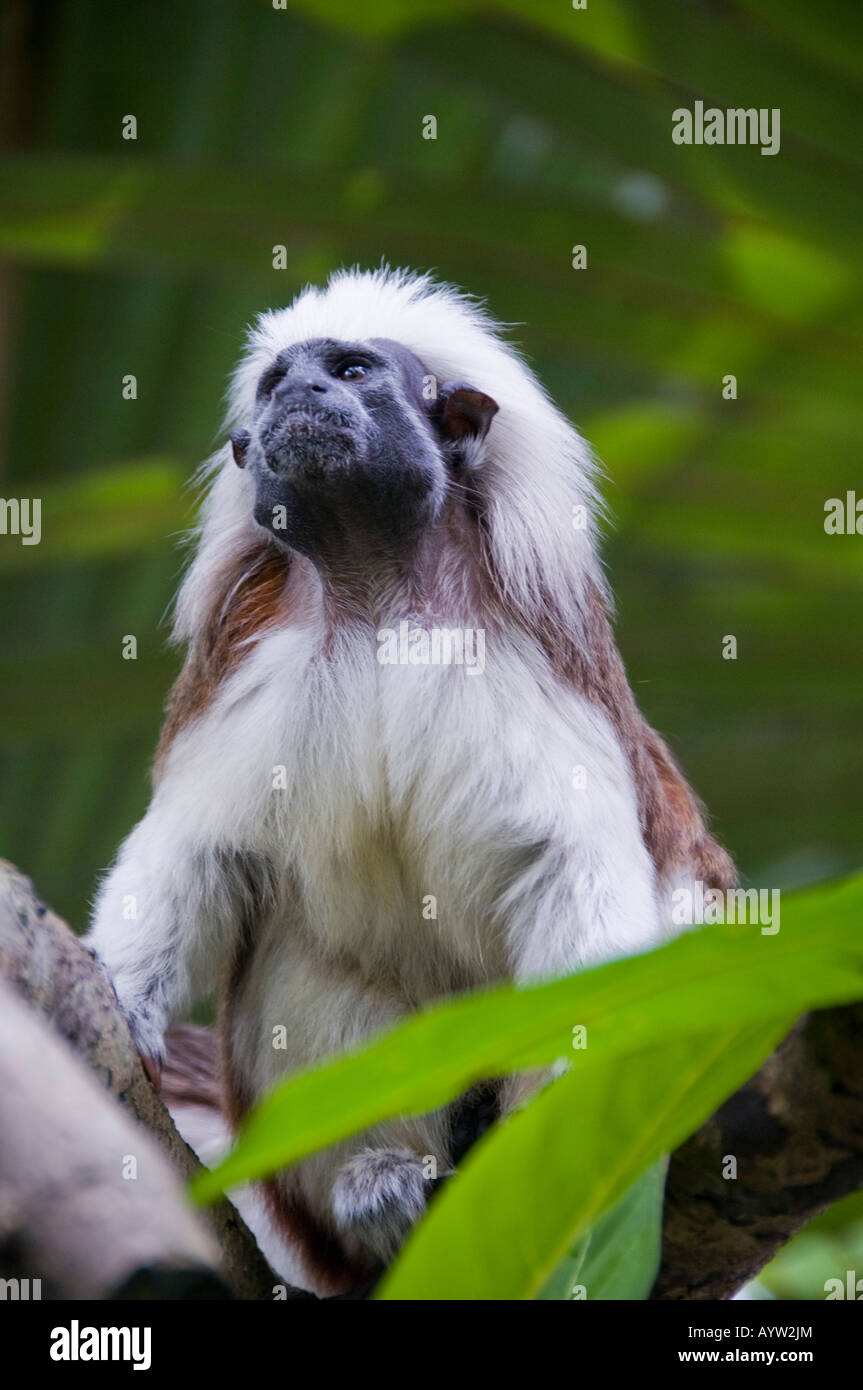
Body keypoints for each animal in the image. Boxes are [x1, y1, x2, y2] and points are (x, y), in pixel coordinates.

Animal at [87, 267, 735, 1296]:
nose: (303, 394)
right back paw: (382, 1199)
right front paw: (131, 1017)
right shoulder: (243, 670)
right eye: (275, 381)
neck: (379, 595)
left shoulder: (536, 660)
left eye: (351, 369)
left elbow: (577, 867)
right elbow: (197, 852)